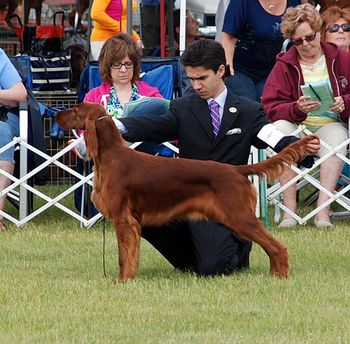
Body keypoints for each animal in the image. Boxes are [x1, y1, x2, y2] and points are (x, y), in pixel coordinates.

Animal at [56, 103, 318, 280]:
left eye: (76, 110)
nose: (57, 114)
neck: (111, 156)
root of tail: (236, 169)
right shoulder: (131, 220)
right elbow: (129, 253)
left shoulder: (123, 218)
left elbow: (124, 255)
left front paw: (123, 280)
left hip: (240, 217)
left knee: (276, 246)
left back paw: (279, 275)